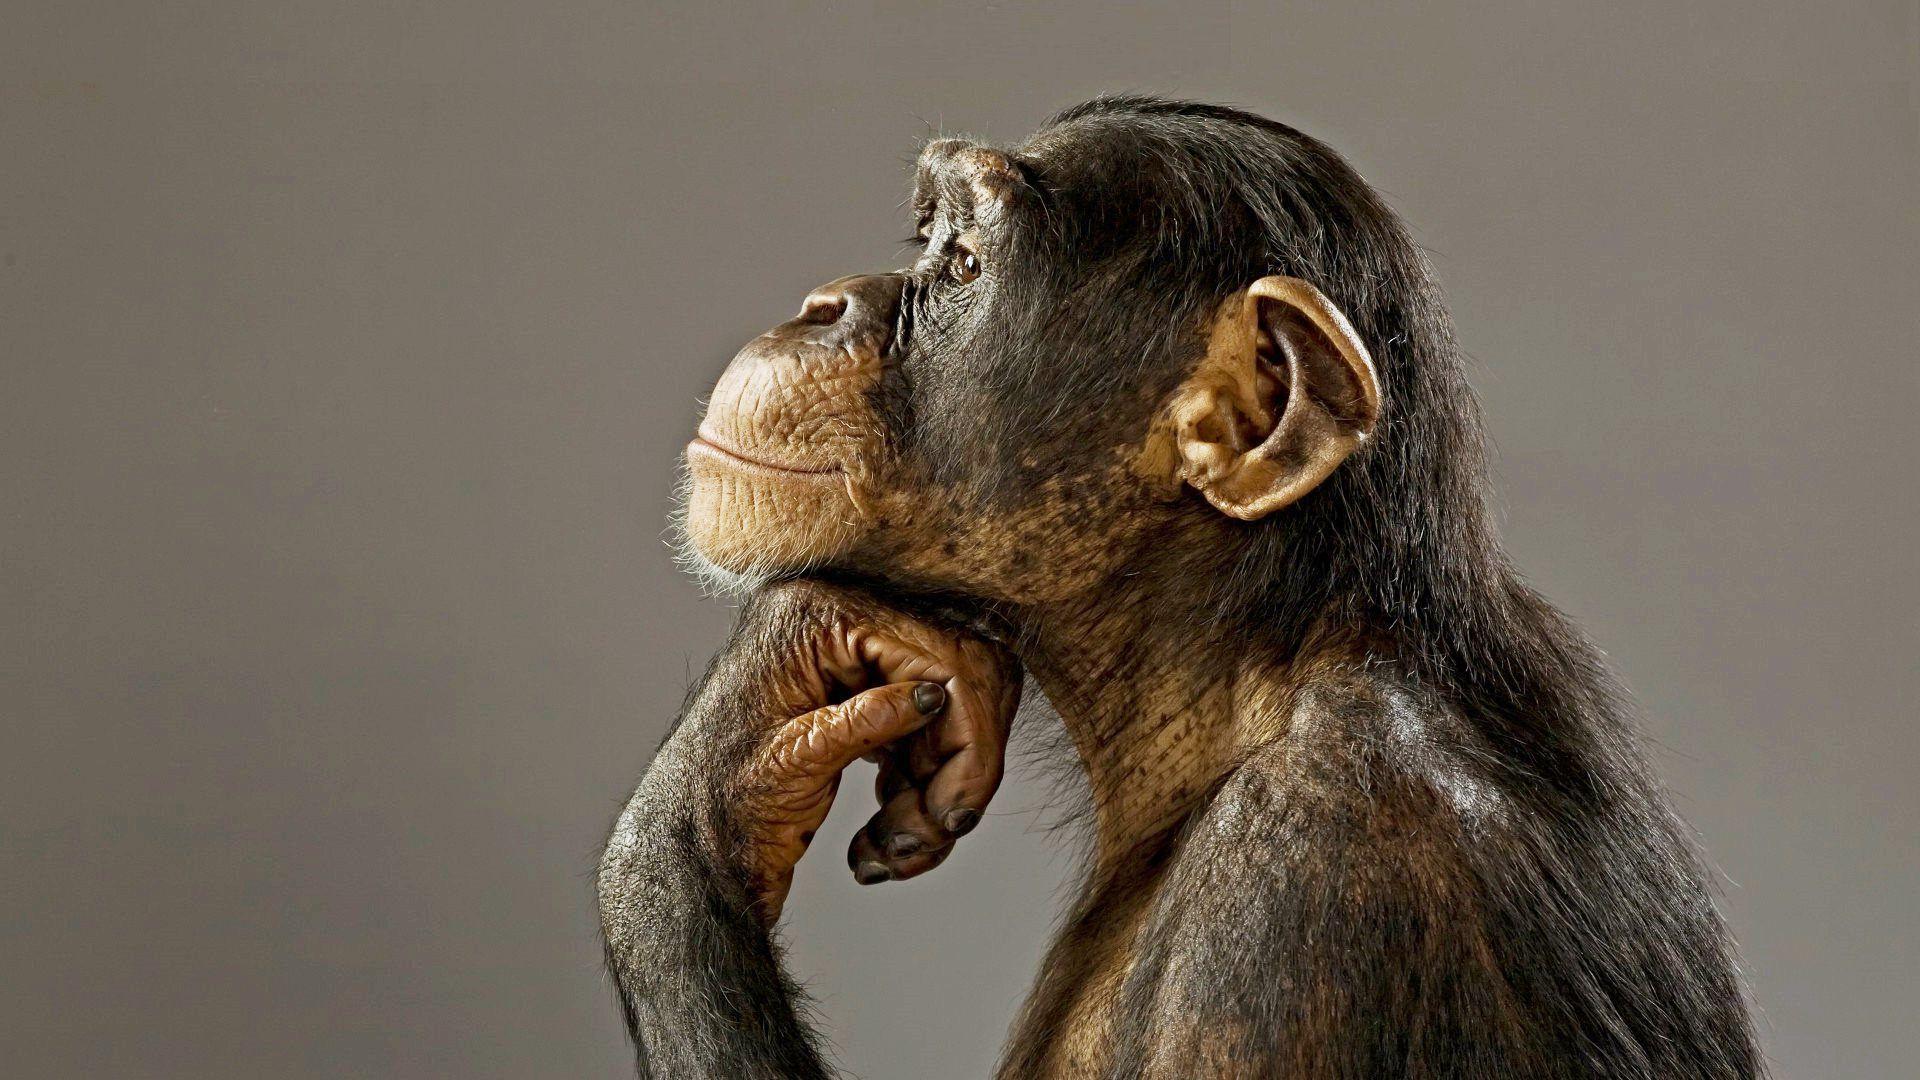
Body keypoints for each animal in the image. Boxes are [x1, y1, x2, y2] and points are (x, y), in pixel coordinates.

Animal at [596, 97, 1761, 1078]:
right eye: (925, 240)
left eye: (964, 262)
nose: (822, 303)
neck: (1255, 673)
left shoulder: (1307, 891)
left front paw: (716, 769)